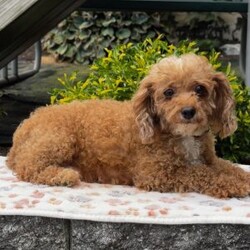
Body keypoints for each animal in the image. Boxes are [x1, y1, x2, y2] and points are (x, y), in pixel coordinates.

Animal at [6, 53, 249, 198]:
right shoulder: (155, 174)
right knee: (28, 167)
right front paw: (234, 185)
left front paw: (241, 177)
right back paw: (63, 176)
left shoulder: (210, 159)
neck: (181, 136)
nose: (188, 111)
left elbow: (229, 167)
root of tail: (26, 124)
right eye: (168, 92)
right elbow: (201, 173)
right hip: (60, 139)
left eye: (200, 89)